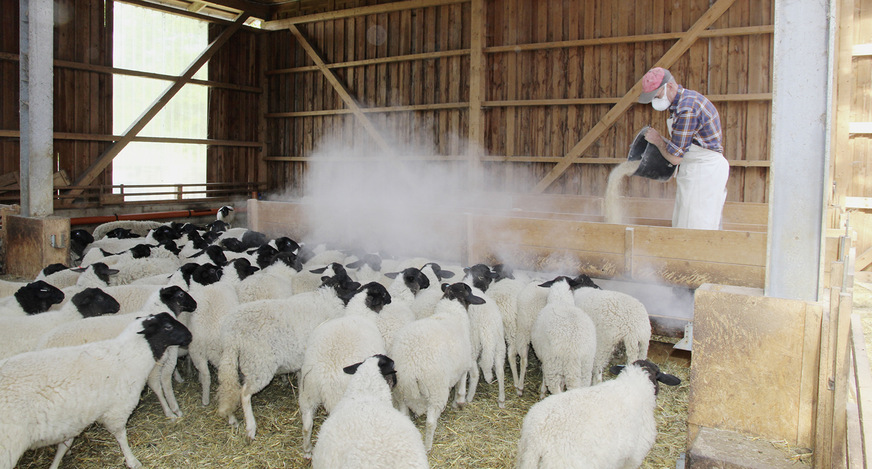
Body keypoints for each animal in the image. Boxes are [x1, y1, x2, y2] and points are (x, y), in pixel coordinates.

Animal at [0, 310, 191, 468]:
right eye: (167, 327)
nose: (190, 335)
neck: (130, 355)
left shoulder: (74, 418)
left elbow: (64, 445)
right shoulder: (117, 410)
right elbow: (121, 436)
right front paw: (132, 460)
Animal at [215, 270, 358, 438]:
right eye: (347, 280)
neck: (329, 297)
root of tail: (231, 335)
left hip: (234, 361)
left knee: (228, 385)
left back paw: (231, 418)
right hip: (259, 364)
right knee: (244, 393)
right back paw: (251, 427)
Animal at [298, 282, 390, 458]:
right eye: (383, 293)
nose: (391, 299)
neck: (360, 314)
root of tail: (324, 375)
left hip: (307, 392)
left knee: (307, 425)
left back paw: (307, 450)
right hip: (338, 397)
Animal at [390, 282, 480, 450]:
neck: (451, 312)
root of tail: (410, 367)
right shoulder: (463, 364)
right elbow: (461, 387)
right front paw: (459, 402)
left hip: (400, 393)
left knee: (404, 414)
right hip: (435, 391)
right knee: (431, 422)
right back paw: (428, 446)